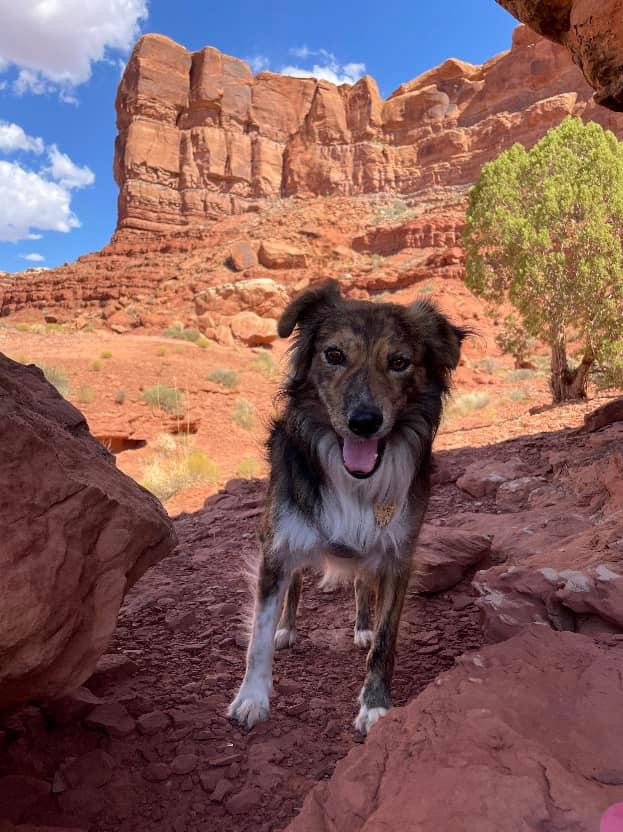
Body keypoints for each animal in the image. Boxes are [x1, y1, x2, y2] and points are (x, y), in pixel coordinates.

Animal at [227, 282, 466, 736]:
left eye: (399, 362)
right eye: (334, 355)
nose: (364, 422)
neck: (352, 479)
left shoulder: (397, 554)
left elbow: (386, 641)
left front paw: (374, 705)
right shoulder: (279, 544)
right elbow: (258, 635)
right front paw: (251, 698)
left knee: (360, 585)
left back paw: (362, 627)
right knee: (297, 586)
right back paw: (288, 628)